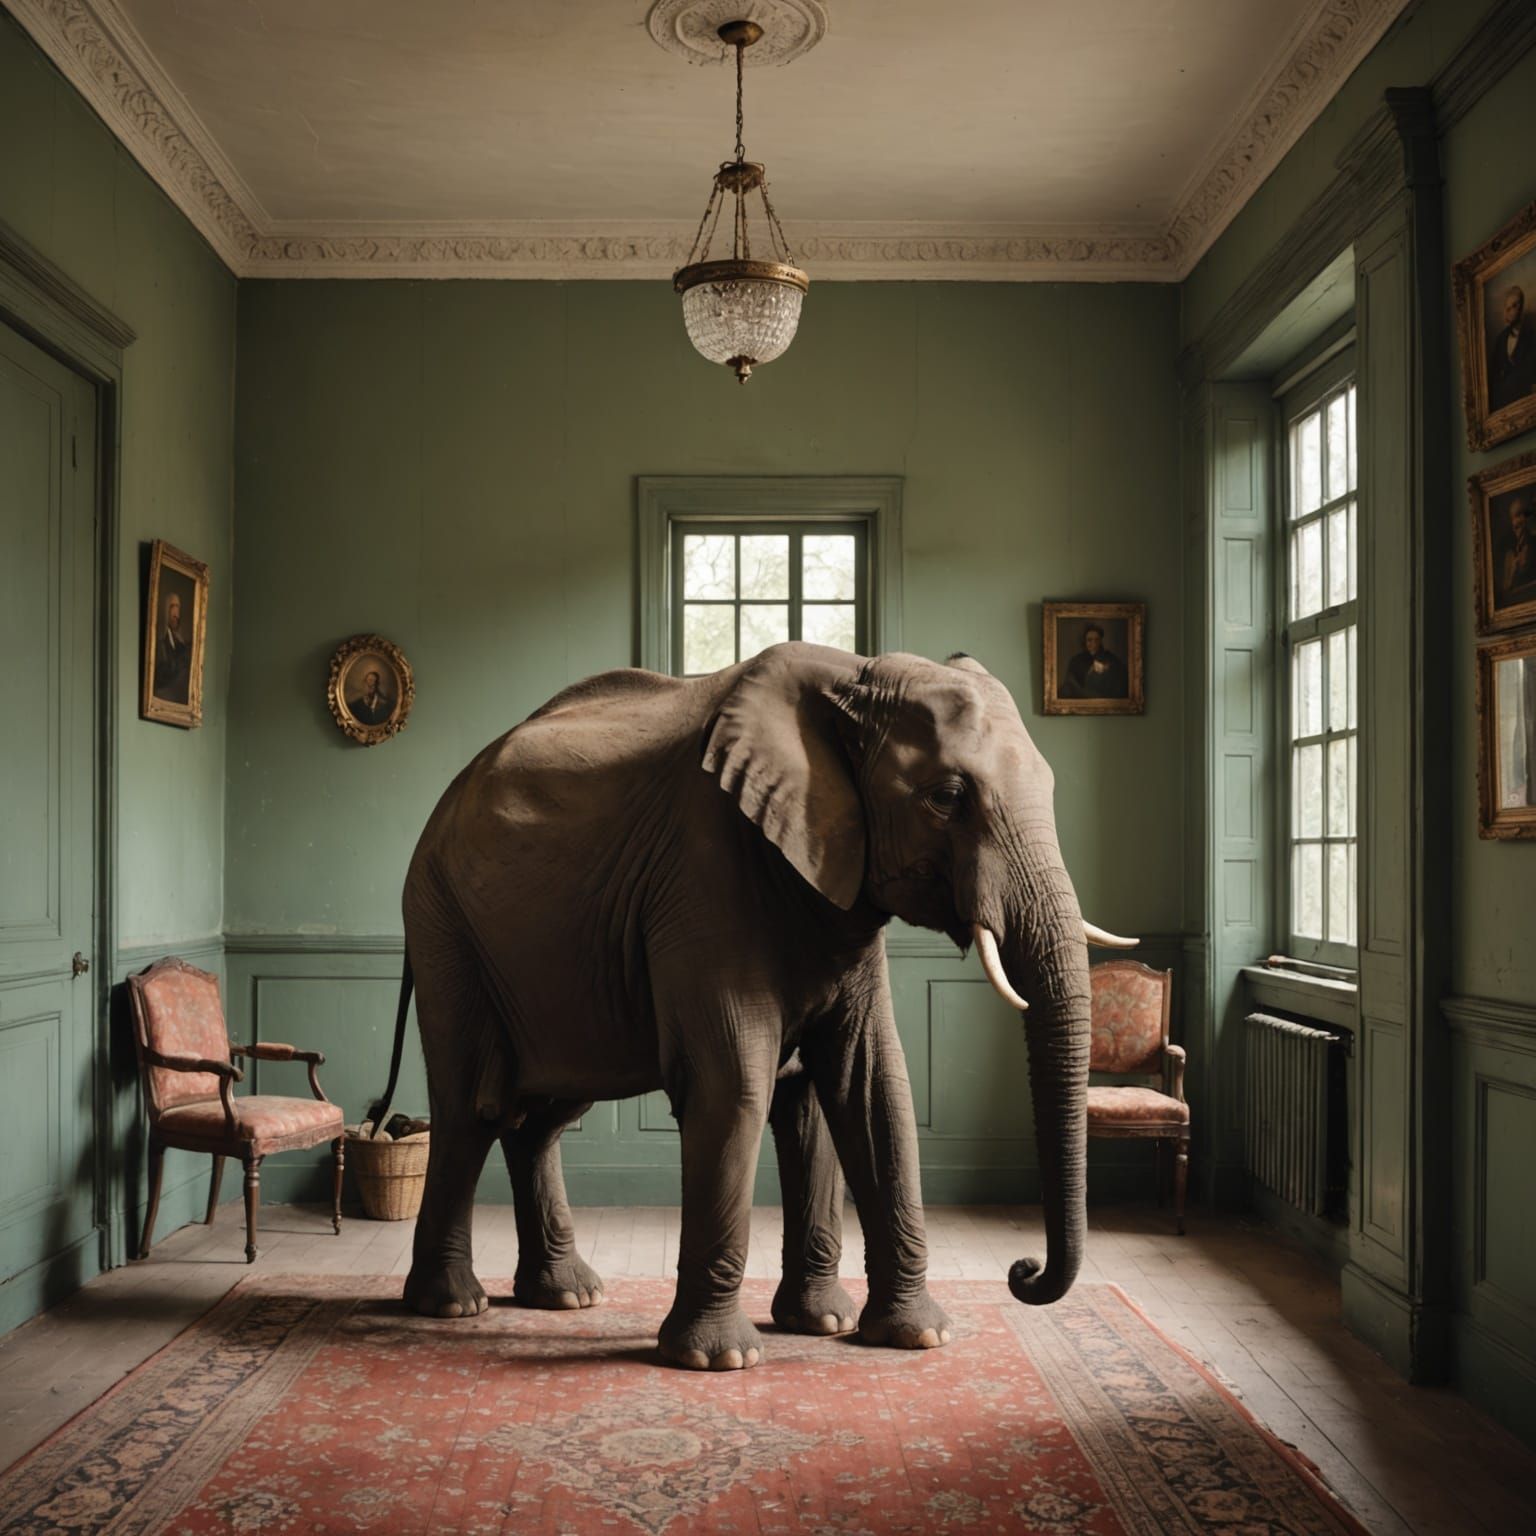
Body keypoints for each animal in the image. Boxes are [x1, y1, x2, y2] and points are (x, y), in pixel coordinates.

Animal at [369, 642, 1134, 1370]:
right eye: (946, 796)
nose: (1022, 1271)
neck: (853, 674)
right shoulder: (701, 872)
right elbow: (736, 1083)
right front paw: (719, 1359)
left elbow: (867, 1088)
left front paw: (876, 1332)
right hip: (444, 927)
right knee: (470, 1108)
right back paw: (452, 1306)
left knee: (543, 1115)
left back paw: (566, 1297)